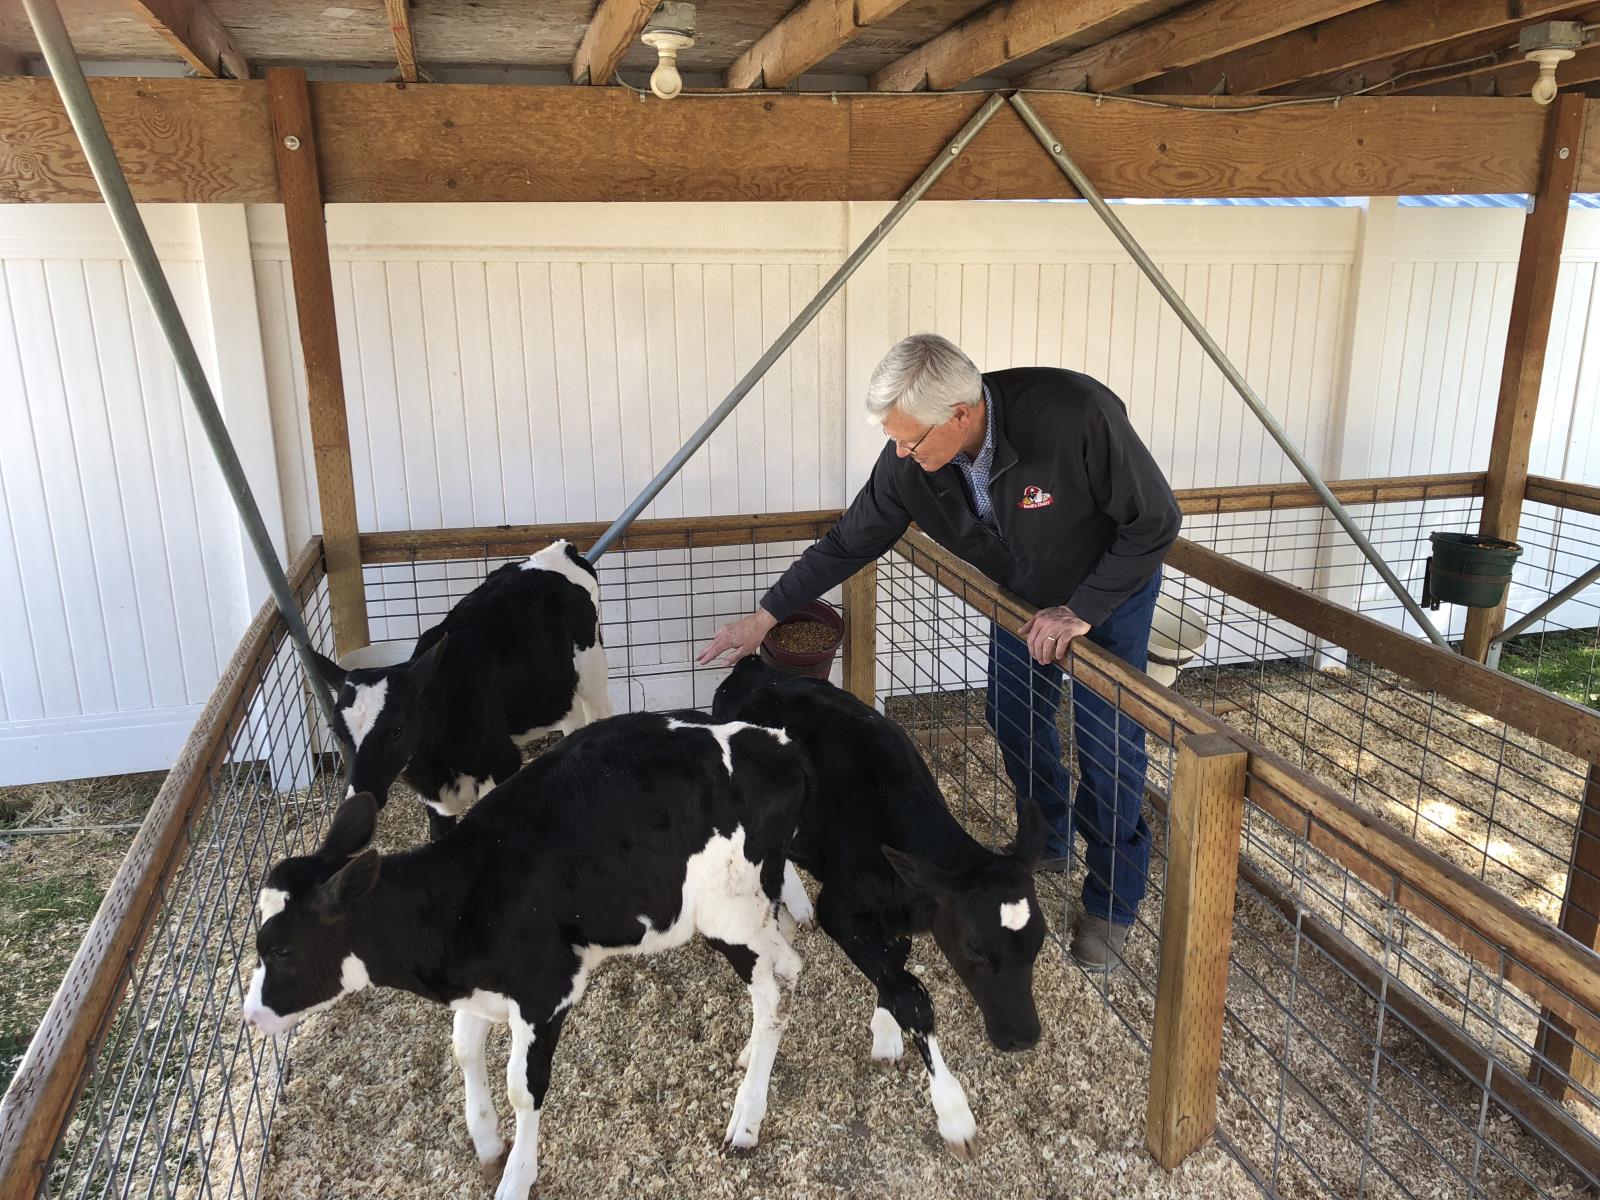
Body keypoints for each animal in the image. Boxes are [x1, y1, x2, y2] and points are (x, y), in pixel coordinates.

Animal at [241, 713, 806, 1200]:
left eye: (282, 949)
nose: (249, 1016)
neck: (462, 899)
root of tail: (779, 744)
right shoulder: (479, 986)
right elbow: (463, 1049)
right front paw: (488, 1143)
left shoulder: (544, 992)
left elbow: (523, 1088)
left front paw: (516, 1178)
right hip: (758, 902)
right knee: (787, 964)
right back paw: (750, 1054)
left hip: (730, 917)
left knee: (778, 987)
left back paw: (746, 1118)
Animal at [312, 540, 611, 838]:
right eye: (336, 731)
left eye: (397, 729)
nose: (358, 797)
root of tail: (559, 549)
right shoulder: (436, 803)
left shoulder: (503, 763)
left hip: (592, 672)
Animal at [713, 659, 1049, 1158]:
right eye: (974, 948)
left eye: (1040, 941)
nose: (1023, 1037)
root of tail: (755, 666)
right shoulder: (840, 910)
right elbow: (913, 998)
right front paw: (953, 1112)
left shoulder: (906, 910)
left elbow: (896, 967)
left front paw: (886, 1030)